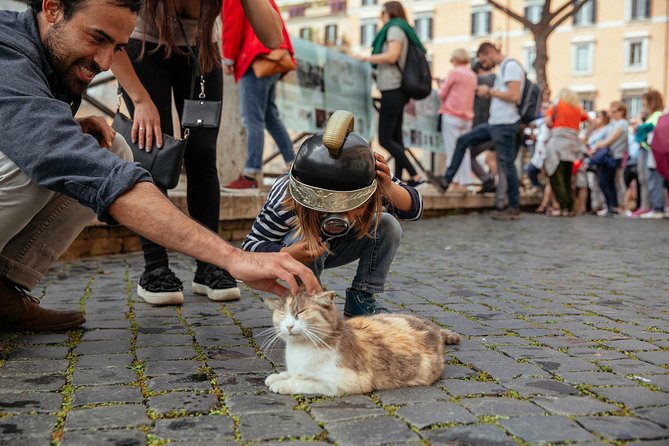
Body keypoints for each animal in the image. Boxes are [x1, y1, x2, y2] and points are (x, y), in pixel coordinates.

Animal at [260, 290, 460, 398]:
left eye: (300, 312)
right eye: (282, 315)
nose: (289, 325)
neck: (299, 350)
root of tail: (432, 327)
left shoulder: (342, 383)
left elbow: (305, 382)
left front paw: (284, 384)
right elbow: (293, 373)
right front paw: (278, 376)